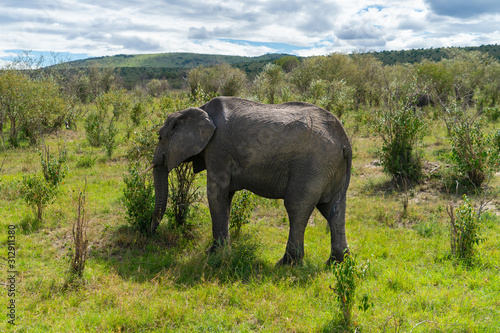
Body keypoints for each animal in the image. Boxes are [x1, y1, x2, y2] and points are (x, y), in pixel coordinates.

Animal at [147, 96, 352, 264]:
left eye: (160, 136)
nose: (151, 231)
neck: (200, 108)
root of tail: (345, 143)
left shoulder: (217, 149)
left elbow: (216, 194)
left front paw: (213, 254)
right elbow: (226, 197)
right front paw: (221, 252)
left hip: (312, 166)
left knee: (297, 207)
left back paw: (286, 264)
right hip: (330, 167)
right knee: (333, 210)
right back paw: (336, 263)